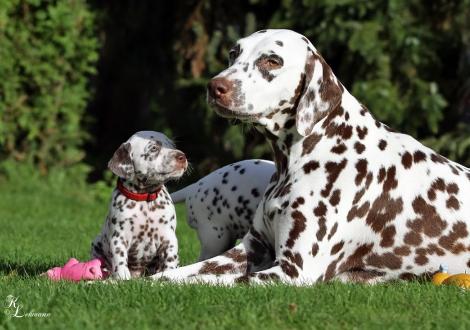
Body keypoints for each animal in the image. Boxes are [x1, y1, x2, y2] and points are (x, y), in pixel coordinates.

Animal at [92, 130, 187, 280]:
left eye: (172, 145)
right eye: (153, 148)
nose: (182, 157)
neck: (145, 199)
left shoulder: (169, 238)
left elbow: (170, 258)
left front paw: (170, 273)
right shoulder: (118, 237)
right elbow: (119, 258)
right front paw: (121, 277)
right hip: (96, 242)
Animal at [151, 29, 470, 284]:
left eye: (272, 60)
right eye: (234, 53)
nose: (215, 87)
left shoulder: (293, 271)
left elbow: (212, 281)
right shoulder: (248, 250)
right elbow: (173, 275)